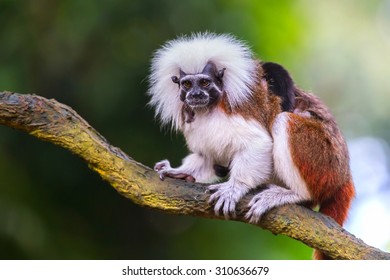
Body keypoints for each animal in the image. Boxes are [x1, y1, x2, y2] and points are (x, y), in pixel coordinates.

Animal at [148, 33, 354, 260]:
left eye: (204, 82)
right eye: (186, 84)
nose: (195, 94)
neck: (208, 110)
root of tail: (344, 174)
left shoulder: (235, 112)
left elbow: (258, 143)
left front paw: (235, 188)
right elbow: (206, 157)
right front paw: (179, 172)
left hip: (325, 162)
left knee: (283, 121)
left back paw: (296, 194)